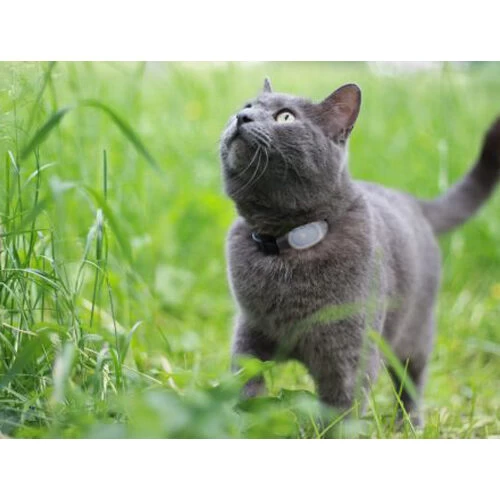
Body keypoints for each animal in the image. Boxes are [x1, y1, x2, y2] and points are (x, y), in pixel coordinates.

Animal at [219, 77, 500, 426]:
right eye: (248, 106)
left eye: (285, 117)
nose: (242, 117)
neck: (288, 242)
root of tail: (411, 200)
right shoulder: (250, 331)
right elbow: (246, 385)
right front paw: (242, 422)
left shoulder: (349, 351)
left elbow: (341, 410)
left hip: (415, 332)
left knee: (412, 379)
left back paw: (408, 424)